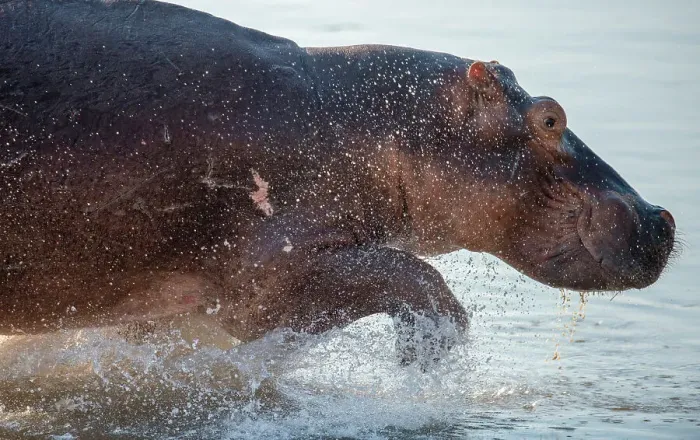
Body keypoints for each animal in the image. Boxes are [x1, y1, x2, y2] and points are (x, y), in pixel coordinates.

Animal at [0, 0, 676, 365]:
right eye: (550, 117)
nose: (662, 217)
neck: (372, 122)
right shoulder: (267, 280)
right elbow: (411, 276)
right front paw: (426, 352)